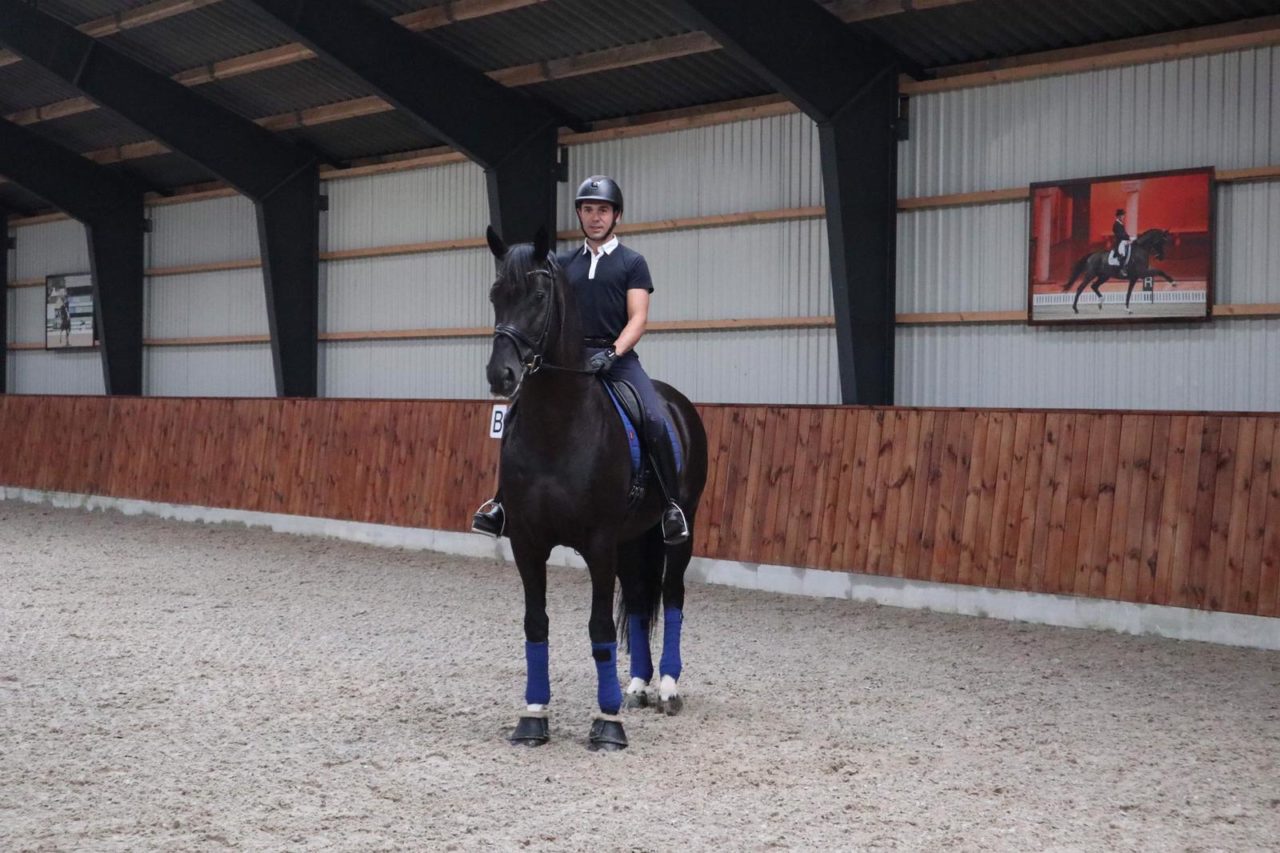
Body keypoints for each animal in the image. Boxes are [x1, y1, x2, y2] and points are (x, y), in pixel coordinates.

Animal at [483, 225, 711, 753]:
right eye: (495, 295)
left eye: (539, 296)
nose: (501, 375)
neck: (558, 425)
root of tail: (676, 402)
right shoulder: (528, 543)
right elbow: (536, 625)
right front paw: (533, 716)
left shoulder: (599, 543)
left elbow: (600, 627)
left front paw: (607, 723)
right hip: (632, 538)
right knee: (641, 598)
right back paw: (638, 685)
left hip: (678, 529)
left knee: (672, 594)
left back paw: (667, 688)